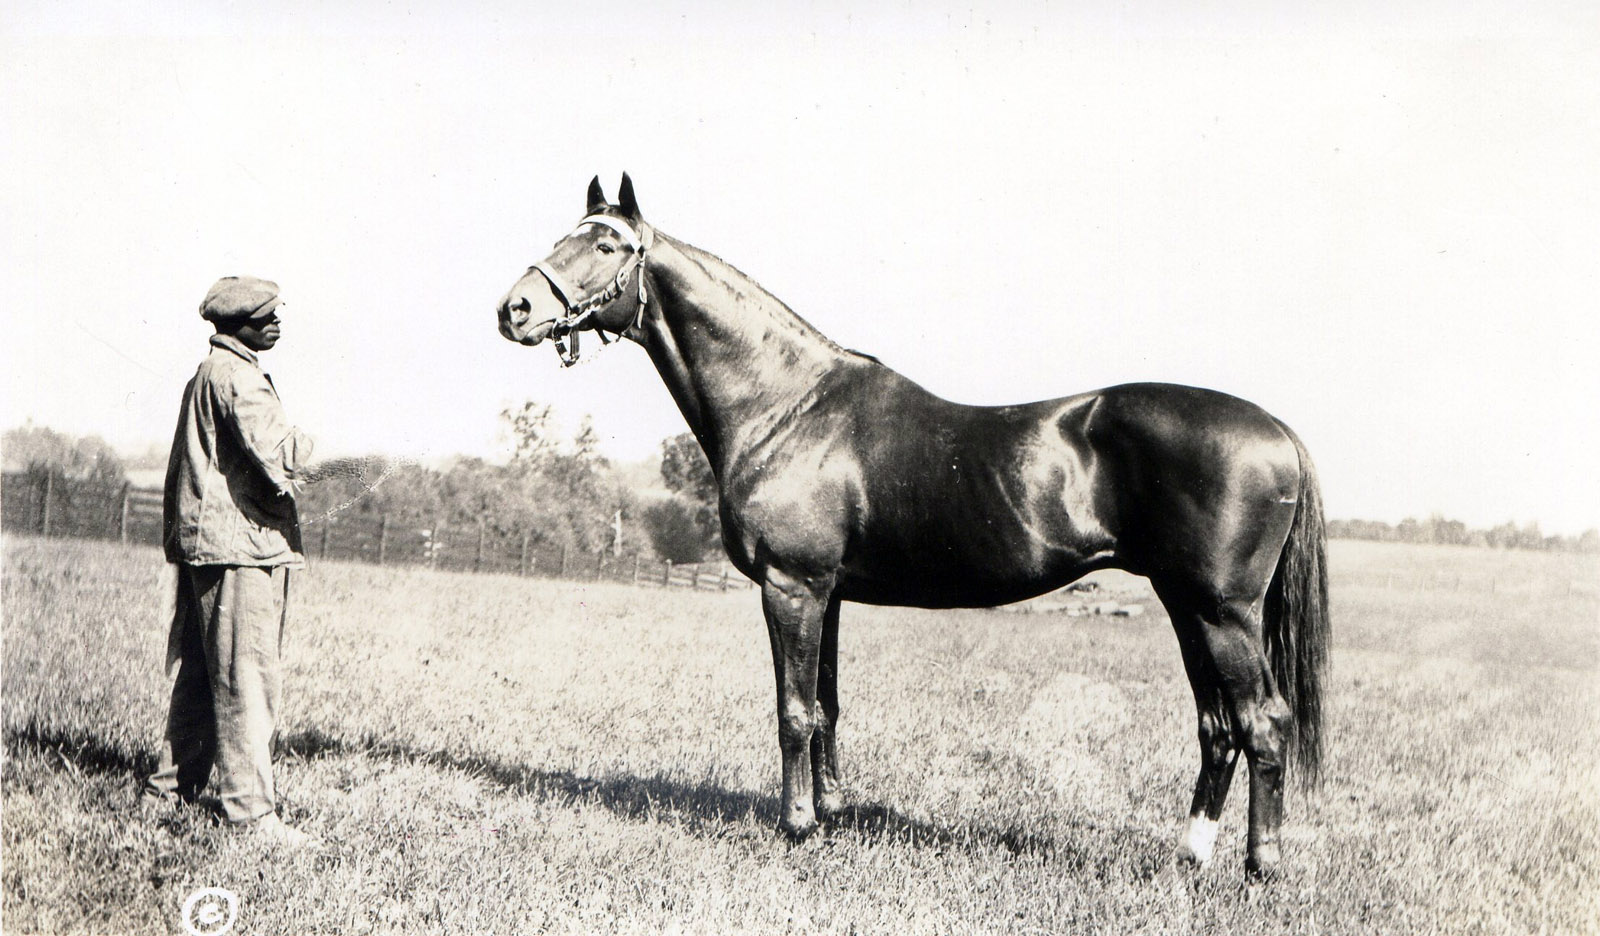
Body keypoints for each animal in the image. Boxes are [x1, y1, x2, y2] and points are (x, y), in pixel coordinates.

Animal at [496, 175, 1324, 876]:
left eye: (605, 246)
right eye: (570, 233)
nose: (515, 309)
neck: (788, 406)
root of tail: (1278, 430)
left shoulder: (791, 585)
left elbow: (792, 709)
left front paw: (797, 825)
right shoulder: (825, 591)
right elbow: (825, 706)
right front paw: (830, 812)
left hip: (1222, 611)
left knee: (1263, 721)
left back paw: (1261, 866)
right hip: (1185, 604)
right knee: (1218, 726)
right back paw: (1190, 854)